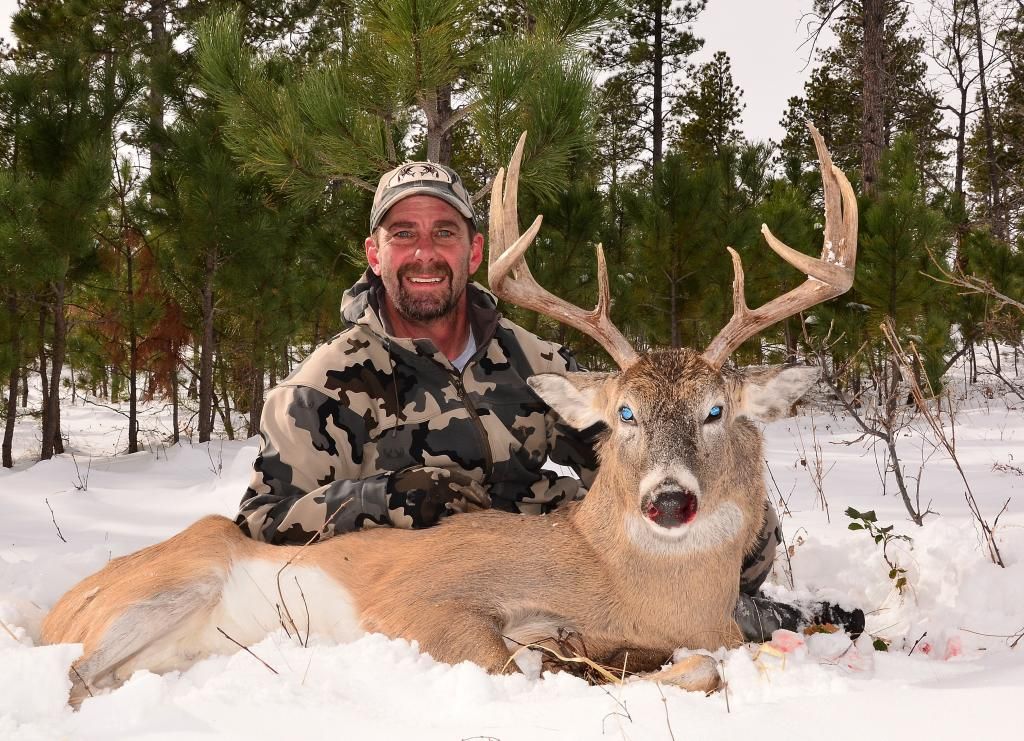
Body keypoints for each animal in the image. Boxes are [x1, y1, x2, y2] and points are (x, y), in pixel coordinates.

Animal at [41, 124, 857, 708]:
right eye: (623, 411)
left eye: (716, 409)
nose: (668, 499)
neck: (628, 588)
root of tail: (54, 610)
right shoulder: (422, 600)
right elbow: (528, 665)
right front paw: (564, 659)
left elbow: (707, 663)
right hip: (176, 579)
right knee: (76, 674)